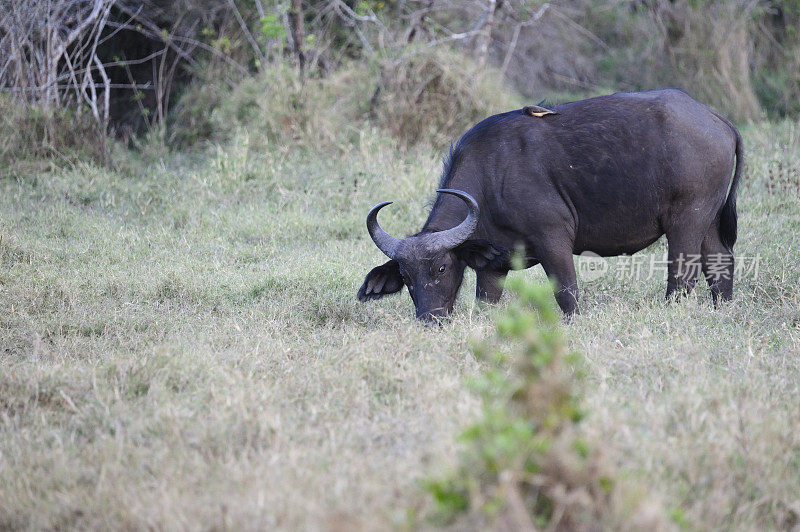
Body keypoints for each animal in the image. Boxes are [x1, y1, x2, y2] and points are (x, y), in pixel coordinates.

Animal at [356, 89, 744, 320]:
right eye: (406, 277)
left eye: (440, 268)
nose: (429, 319)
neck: (491, 176)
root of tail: (717, 120)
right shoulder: (493, 266)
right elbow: (486, 300)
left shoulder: (553, 240)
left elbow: (567, 294)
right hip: (708, 220)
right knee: (720, 263)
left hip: (686, 220)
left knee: (682, 275)